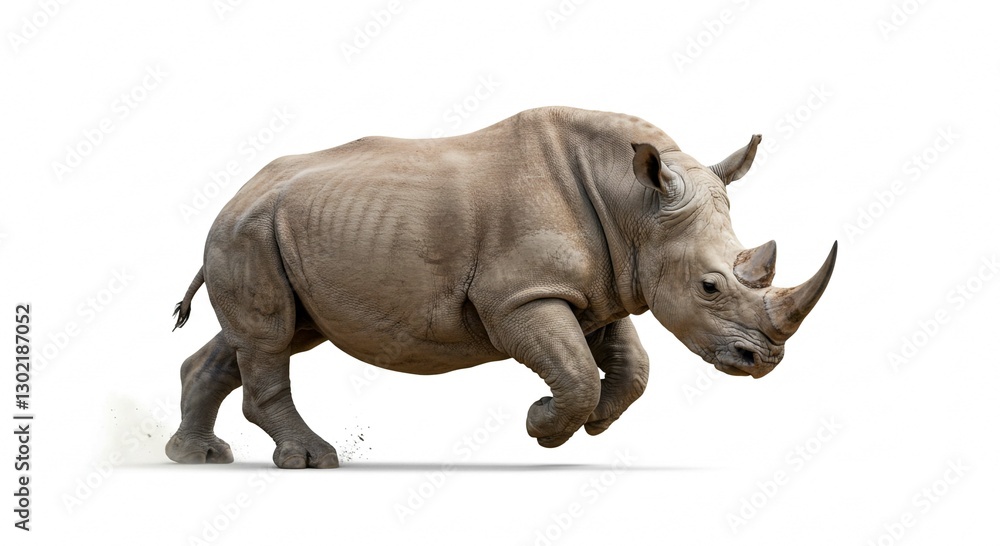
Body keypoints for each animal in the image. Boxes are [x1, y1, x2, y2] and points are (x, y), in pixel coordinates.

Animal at [166, 106, 836, 469]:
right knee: (270, 336)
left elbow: (631, 366)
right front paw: (543, 426)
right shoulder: (519, 294)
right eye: (709, 287)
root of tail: (236, 193)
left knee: (270, 336)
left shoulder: (599, 286)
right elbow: (574, 370)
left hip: (272, 229)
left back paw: (197, 457)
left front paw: (594, 425)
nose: (764, 360)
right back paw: (312, 461)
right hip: (248, 231)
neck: (635, 208)